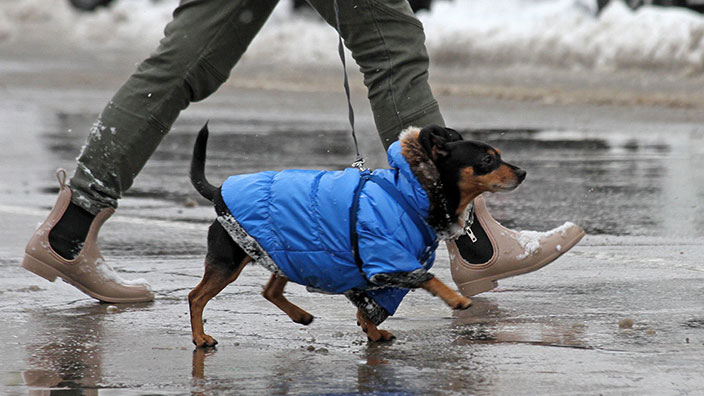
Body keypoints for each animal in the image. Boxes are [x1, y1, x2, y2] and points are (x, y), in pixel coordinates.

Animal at [184, 124, 524, 346]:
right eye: (487, 160)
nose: (522, 172)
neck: (414, 191)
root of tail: (217, 191)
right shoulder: (389, 261)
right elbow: (428, 279)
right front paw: (455, 299)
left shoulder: (377, 272)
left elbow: (368, 308)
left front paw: (371, 331)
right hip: (230, 261)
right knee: (196, 296)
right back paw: (200, 338)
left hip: (289, 252)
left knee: (270, 290)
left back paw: (300, 316)